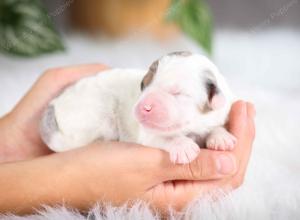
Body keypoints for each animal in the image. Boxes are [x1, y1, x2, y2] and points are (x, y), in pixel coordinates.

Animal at [40, 52, 237, 163]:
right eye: (143, 85)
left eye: (176, 92)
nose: (144, 107)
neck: (193, 126)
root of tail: (55, 103)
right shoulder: (147, 134)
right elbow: (165, 137)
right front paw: (183, 146)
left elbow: (216, 126)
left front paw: (221, 137)